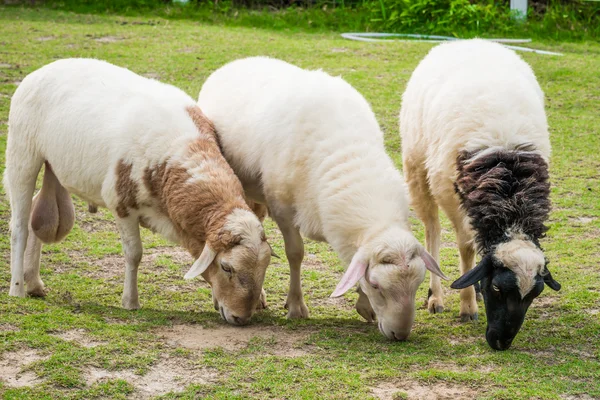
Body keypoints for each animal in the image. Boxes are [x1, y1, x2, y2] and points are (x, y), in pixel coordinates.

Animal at [4, 58, 272, 324]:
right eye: (227, 267)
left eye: (265, 268)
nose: (241, 318)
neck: (179, 151)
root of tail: (45, 68)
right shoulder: (122, 205)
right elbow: (134, 254)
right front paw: (130, 302)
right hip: (22, 153)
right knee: (19, 226)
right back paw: (17, 289)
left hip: (56, 166)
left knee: (36, 213)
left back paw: (34, 283)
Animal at [199, 56, 448, 340]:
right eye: (376, 285)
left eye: (418, 284)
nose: (401, 334)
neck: (348, 156)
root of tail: (242, 60)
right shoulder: (283, 208)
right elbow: (295, 254)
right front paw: (296, 305)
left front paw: (364, 306)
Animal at [398, 38, 564, 350]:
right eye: (497, 287)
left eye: (534, 295)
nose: (501, 343)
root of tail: (470, 40)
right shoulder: (448, 188)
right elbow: (466, 246)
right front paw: (467, 308)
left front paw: (472, 291)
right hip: (417, 168)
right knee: (432, 229)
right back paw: (436, 296)